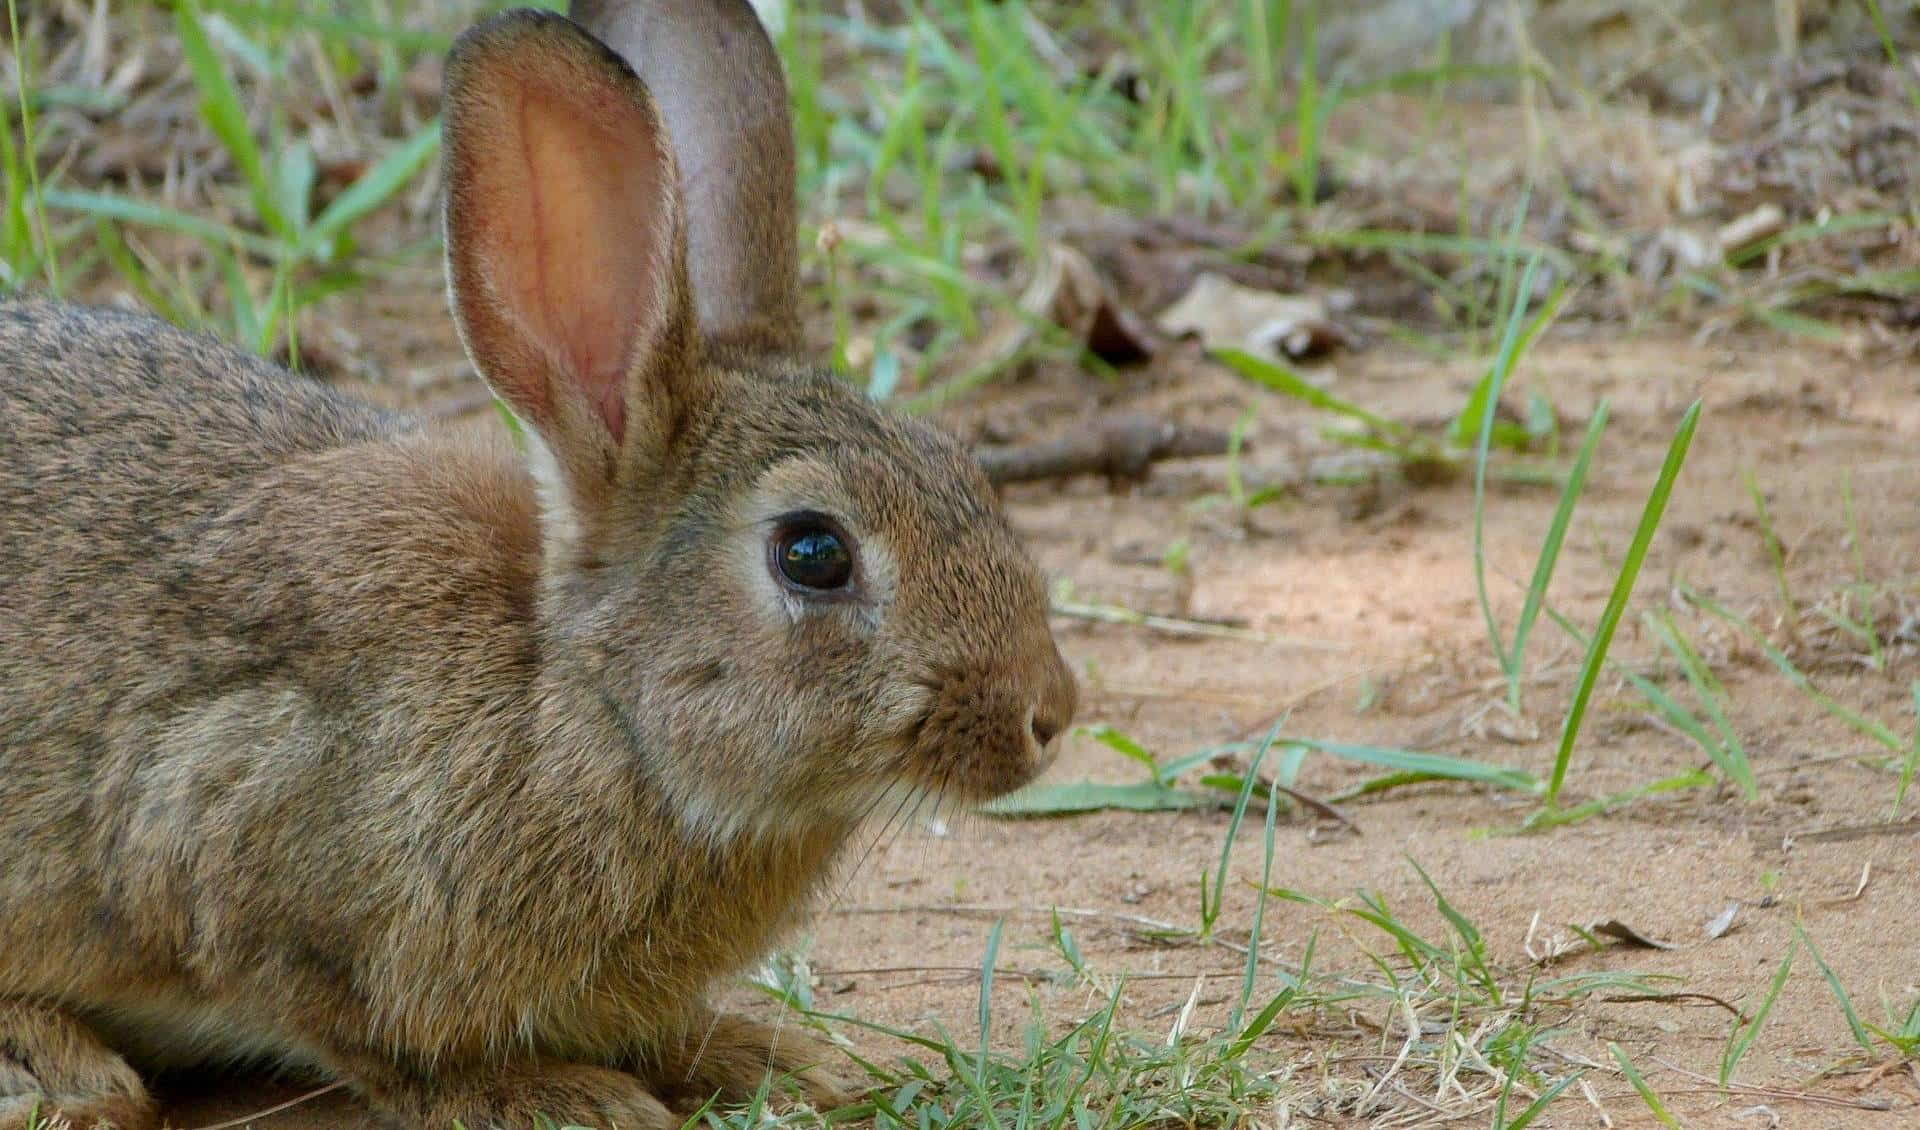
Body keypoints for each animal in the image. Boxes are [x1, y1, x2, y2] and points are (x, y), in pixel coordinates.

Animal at [0, 2, 1082, 1120]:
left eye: (962, 463)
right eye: (813, 552)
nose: (1049, 711)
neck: (588, 704)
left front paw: (770, 1056)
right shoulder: (221, 822)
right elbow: (366, 1036)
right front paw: (561, 1095)